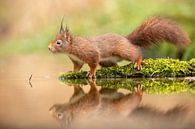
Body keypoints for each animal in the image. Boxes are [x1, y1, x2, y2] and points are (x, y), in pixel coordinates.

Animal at [48, 16, 190, 78]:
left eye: (58, 42)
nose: (49, 48)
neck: (72, 48)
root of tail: (126, 39)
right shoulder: (77, 60)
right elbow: (77, 67)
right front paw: (71, 72)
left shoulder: (90, 52)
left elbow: (93, 63)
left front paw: (91, 72)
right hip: (107, 61)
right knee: (114, 65)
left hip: (123, 51)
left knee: (135, 51)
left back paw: (138, 61)